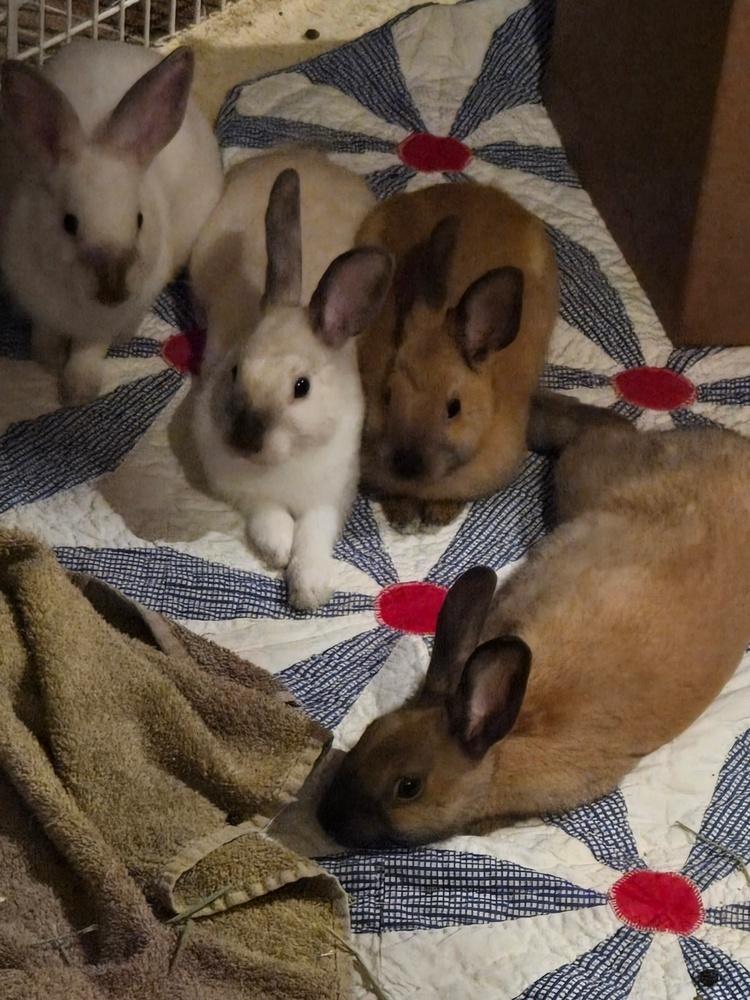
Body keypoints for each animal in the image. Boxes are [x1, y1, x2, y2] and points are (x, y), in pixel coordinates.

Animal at [0, 39, 222, 406]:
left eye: (139, 219)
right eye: (69, 223)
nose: (113, 291)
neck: (79, 306)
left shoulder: (102, 326)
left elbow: (89, 352)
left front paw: (78, 391)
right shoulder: (40, 308)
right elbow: (46, 335)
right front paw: (47, 360)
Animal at [190, 151, 393, 610]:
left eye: (302, 387)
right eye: (234, 370)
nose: (245, 439)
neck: (284, 464)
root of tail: (301, 152)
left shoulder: (332, 495)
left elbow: (315, 534)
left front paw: (309, 588)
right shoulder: (239, 488)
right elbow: (268, 517)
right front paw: (278, 550)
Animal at [356, 180, 559, 532]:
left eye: (454, 408)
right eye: (387, 395)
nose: (407, 465)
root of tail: (484, 190)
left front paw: (437, 516)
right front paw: (403, 517)